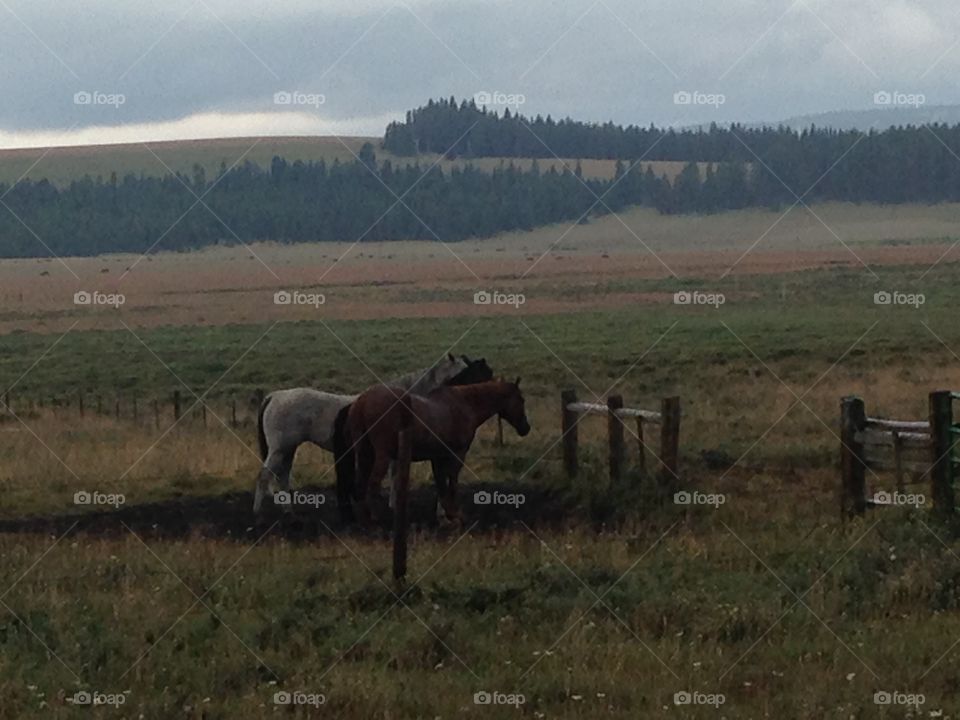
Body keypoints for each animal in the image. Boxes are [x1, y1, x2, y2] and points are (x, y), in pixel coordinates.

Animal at [251, 352, 492, 512]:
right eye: (463, 372)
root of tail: (276, 395)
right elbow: (395, 477)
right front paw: (394, 505)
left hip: (288, 448)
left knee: (282, 475)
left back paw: (288, 510)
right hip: (280, 448)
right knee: (264, 476)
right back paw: (258, 513)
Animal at [346, 376, 532, 524]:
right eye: (521, 399)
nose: (526, 428)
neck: (464, 404)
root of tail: (362, 401)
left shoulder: (437, 457)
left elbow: (441, 484)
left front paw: (444, 514)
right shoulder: (458, 454)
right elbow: (452, 483)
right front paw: (455, 514)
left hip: (365, 454)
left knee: (360, 484)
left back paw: (364, 518)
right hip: (381, 457)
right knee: (372, 484)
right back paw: (377, 518)